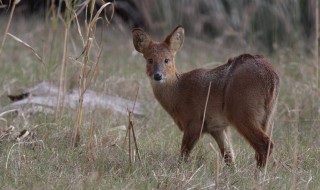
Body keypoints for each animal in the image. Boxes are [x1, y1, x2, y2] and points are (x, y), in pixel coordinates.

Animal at [131, 25, 278, 168]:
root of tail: (271, 77)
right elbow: (229, 157)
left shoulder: (194, 122)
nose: (158, 75)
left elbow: (183, 155)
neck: (178, 92)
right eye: (150, 60)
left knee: (265, 145)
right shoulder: (217, 127)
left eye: (167, 60)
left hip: (242, 112)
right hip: (266, 117)